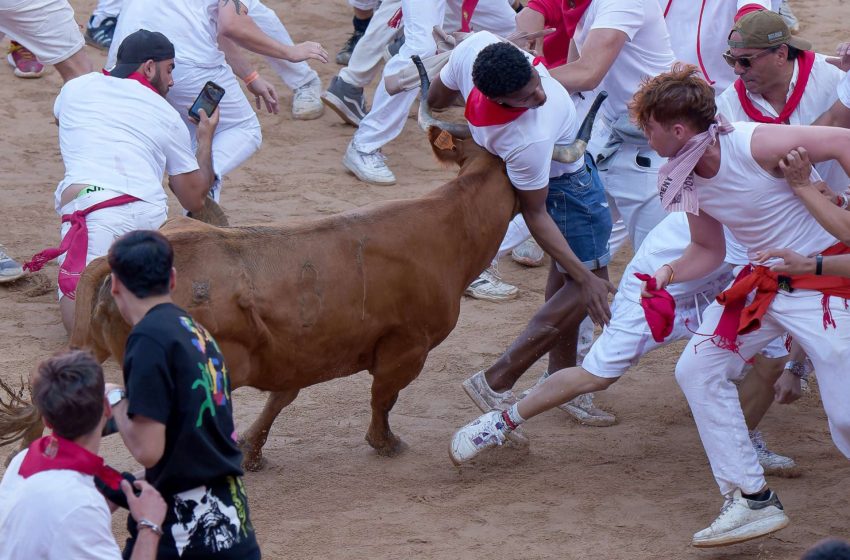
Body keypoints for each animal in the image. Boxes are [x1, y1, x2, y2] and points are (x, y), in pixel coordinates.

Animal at [59, 126, 512, 468]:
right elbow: (383, 398)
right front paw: (385, 443)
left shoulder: (298, 351)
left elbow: (283, 397)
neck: (449, 226)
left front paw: (251, 452)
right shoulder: (408, 347)